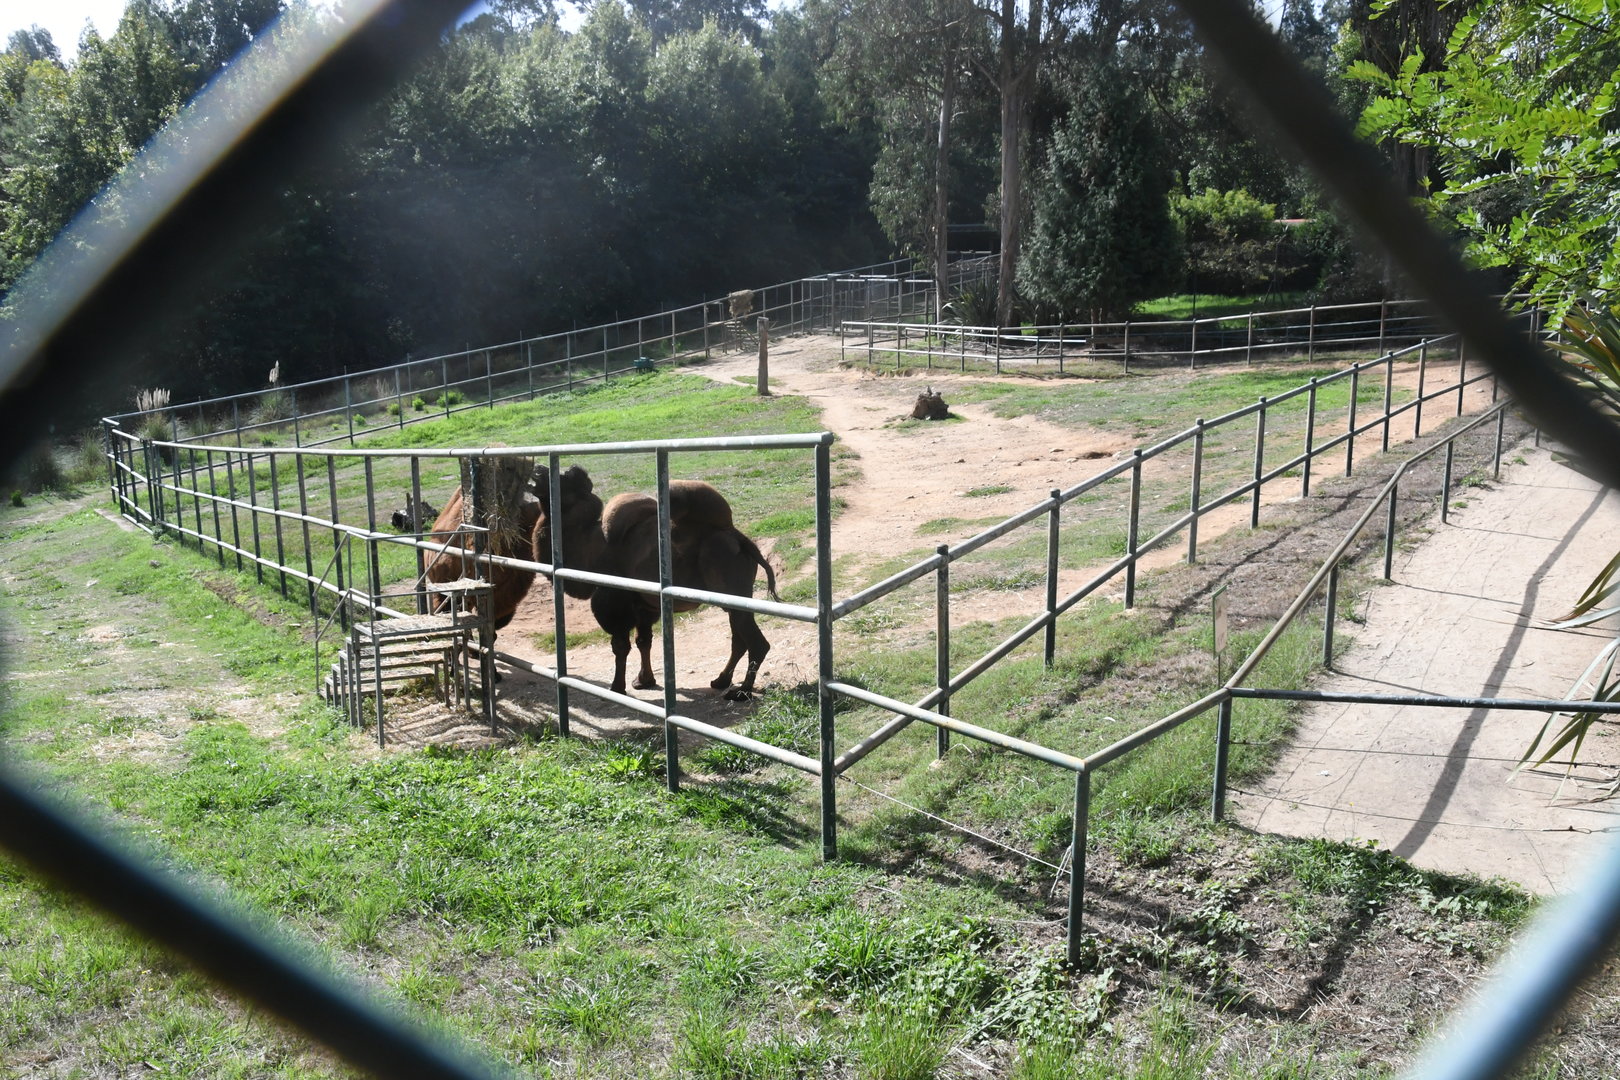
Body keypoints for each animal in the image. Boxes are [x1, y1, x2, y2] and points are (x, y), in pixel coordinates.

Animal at [532, 464, 778, 700]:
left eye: (562, 478)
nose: (537, 470)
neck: (589, 546)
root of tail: (742, 540)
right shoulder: (644, 605)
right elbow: (644, 640)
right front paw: (643, 681)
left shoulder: (614, 601)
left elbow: (620, 647)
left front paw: (616, 688)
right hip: (734, 602)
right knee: (739, 640)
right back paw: (721, 681)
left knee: (757, 644)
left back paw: (741, 693)